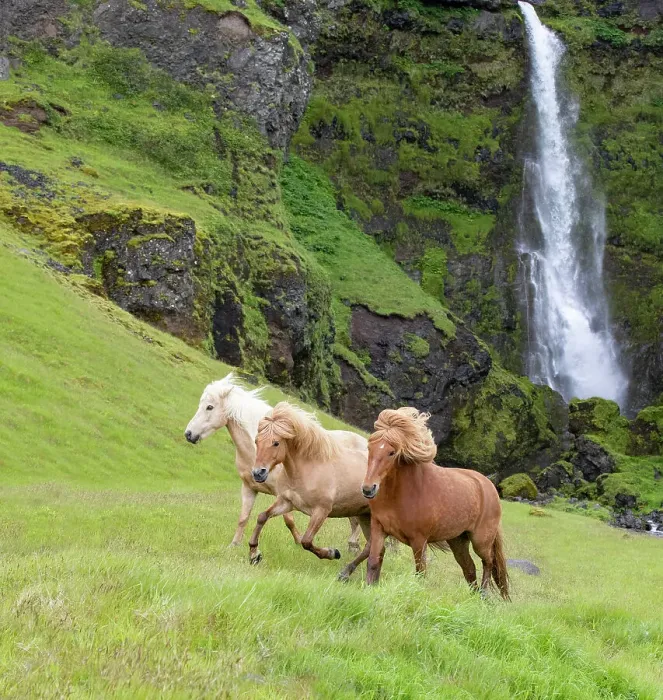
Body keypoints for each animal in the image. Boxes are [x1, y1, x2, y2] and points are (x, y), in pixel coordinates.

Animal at [184, 373, 363, 550]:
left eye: (209, 407)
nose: (188, 434)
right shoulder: (249, 488)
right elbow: (243, 518)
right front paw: (234, 545)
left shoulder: (282, 494)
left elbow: (288, 520)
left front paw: (299, 542)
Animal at [248, 401, 373, 581]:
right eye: (257, 441)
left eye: (276, 443)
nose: (258, 473)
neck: (310, 467)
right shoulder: (287, 502)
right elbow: (262, 517)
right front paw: (254, 555)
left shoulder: (321, 511)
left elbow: (306, 541)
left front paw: (332, 553)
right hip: (365, 515)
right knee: (371, 546)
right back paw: (346, 573)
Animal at [360, 407, 510, 599]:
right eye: (369, 447)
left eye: (391, 452)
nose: (368, 489)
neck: (399, 496)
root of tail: (489, 487)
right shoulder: (379, 528)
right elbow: (373, 561)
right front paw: (368, 589)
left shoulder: (419, 540)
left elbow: (420, 573)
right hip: (458, 541)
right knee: (469, 569)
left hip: (480, 541)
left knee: (488, 562)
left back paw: (483, 596)